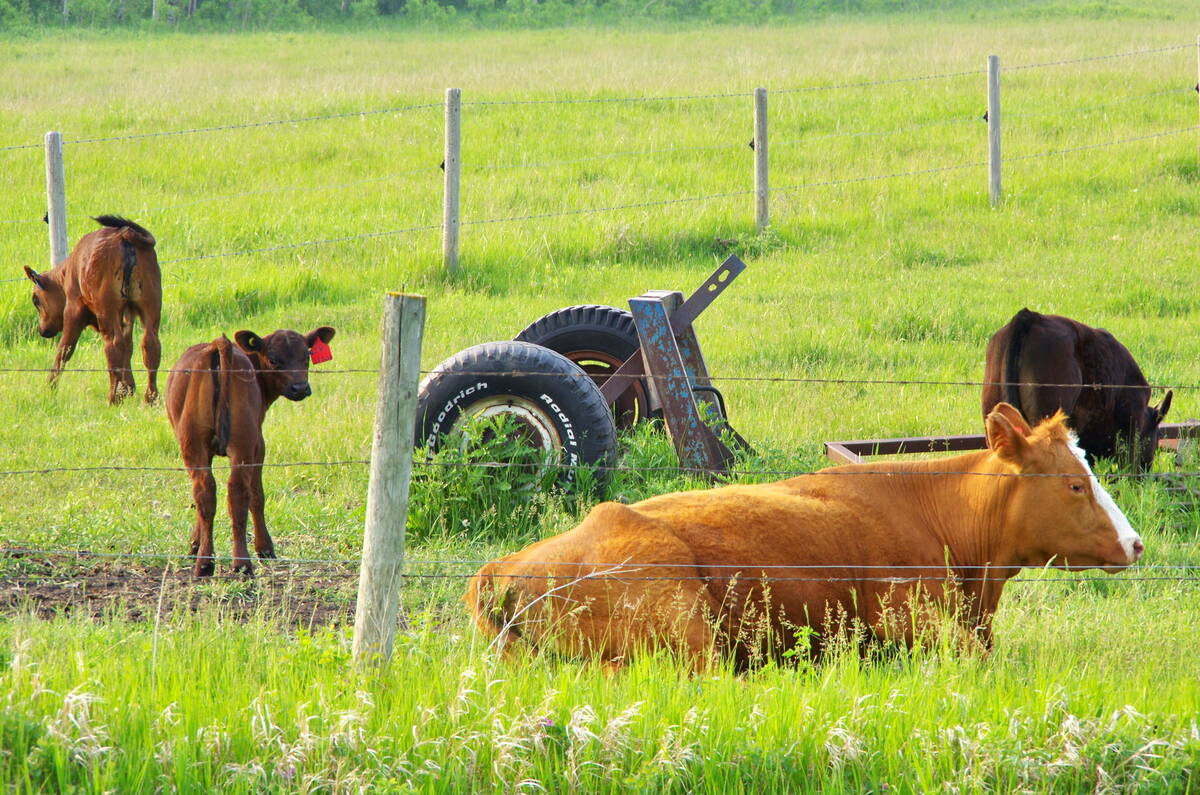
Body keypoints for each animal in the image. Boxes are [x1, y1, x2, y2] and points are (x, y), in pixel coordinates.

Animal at [23, 215, 162, 404]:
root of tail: (124, 235)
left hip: (107, 311)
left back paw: (113, 398)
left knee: (113, 345)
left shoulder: (73, 309)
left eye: (36, 300)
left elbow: (65, 348)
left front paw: (50, 388)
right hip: (151, 306)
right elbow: (128, 347)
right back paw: (151, 398)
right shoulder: (128, 316)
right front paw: (128, 389)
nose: (42, 330)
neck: (69, 270)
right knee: (150, 344)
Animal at [165, 326, 335, 576]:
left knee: (205, 490)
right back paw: (242, 564)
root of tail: (220, 346)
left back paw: (206, 562)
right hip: (244, 445)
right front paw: (265, 549)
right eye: (273, 359)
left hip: (194, 444)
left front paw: (194, 544)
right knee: (238, 493)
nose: (300, 388)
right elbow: (257, 495)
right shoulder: (259, 445)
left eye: (307, 355)